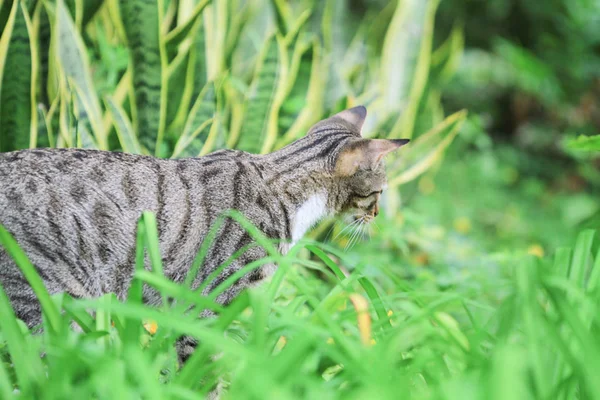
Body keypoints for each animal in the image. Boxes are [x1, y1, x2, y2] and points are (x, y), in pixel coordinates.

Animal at [0, 104, 408, 360]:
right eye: (379, 193)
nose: (375, 214)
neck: (282, 188)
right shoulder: (204, 301)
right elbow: (201, 365)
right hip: (55, 299)